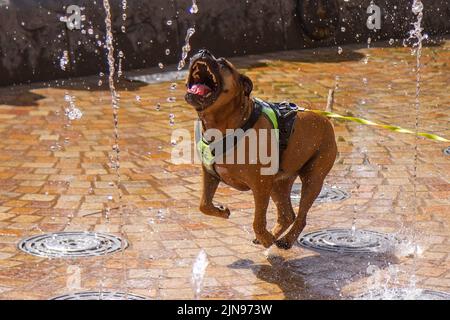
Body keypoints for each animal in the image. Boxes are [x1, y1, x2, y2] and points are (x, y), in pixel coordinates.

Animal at [185, 50, 336, 250]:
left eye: (223, 63)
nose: (203, 51)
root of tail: (327, 119)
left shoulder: (261, 184)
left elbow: (257, 220)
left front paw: (264, 237)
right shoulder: (209, 174)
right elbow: (203, 204)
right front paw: (222, 211)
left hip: (313, 178)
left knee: (300, 217)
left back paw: (284, 240)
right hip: (280, 183)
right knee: (287, 214)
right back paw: (274, 235)